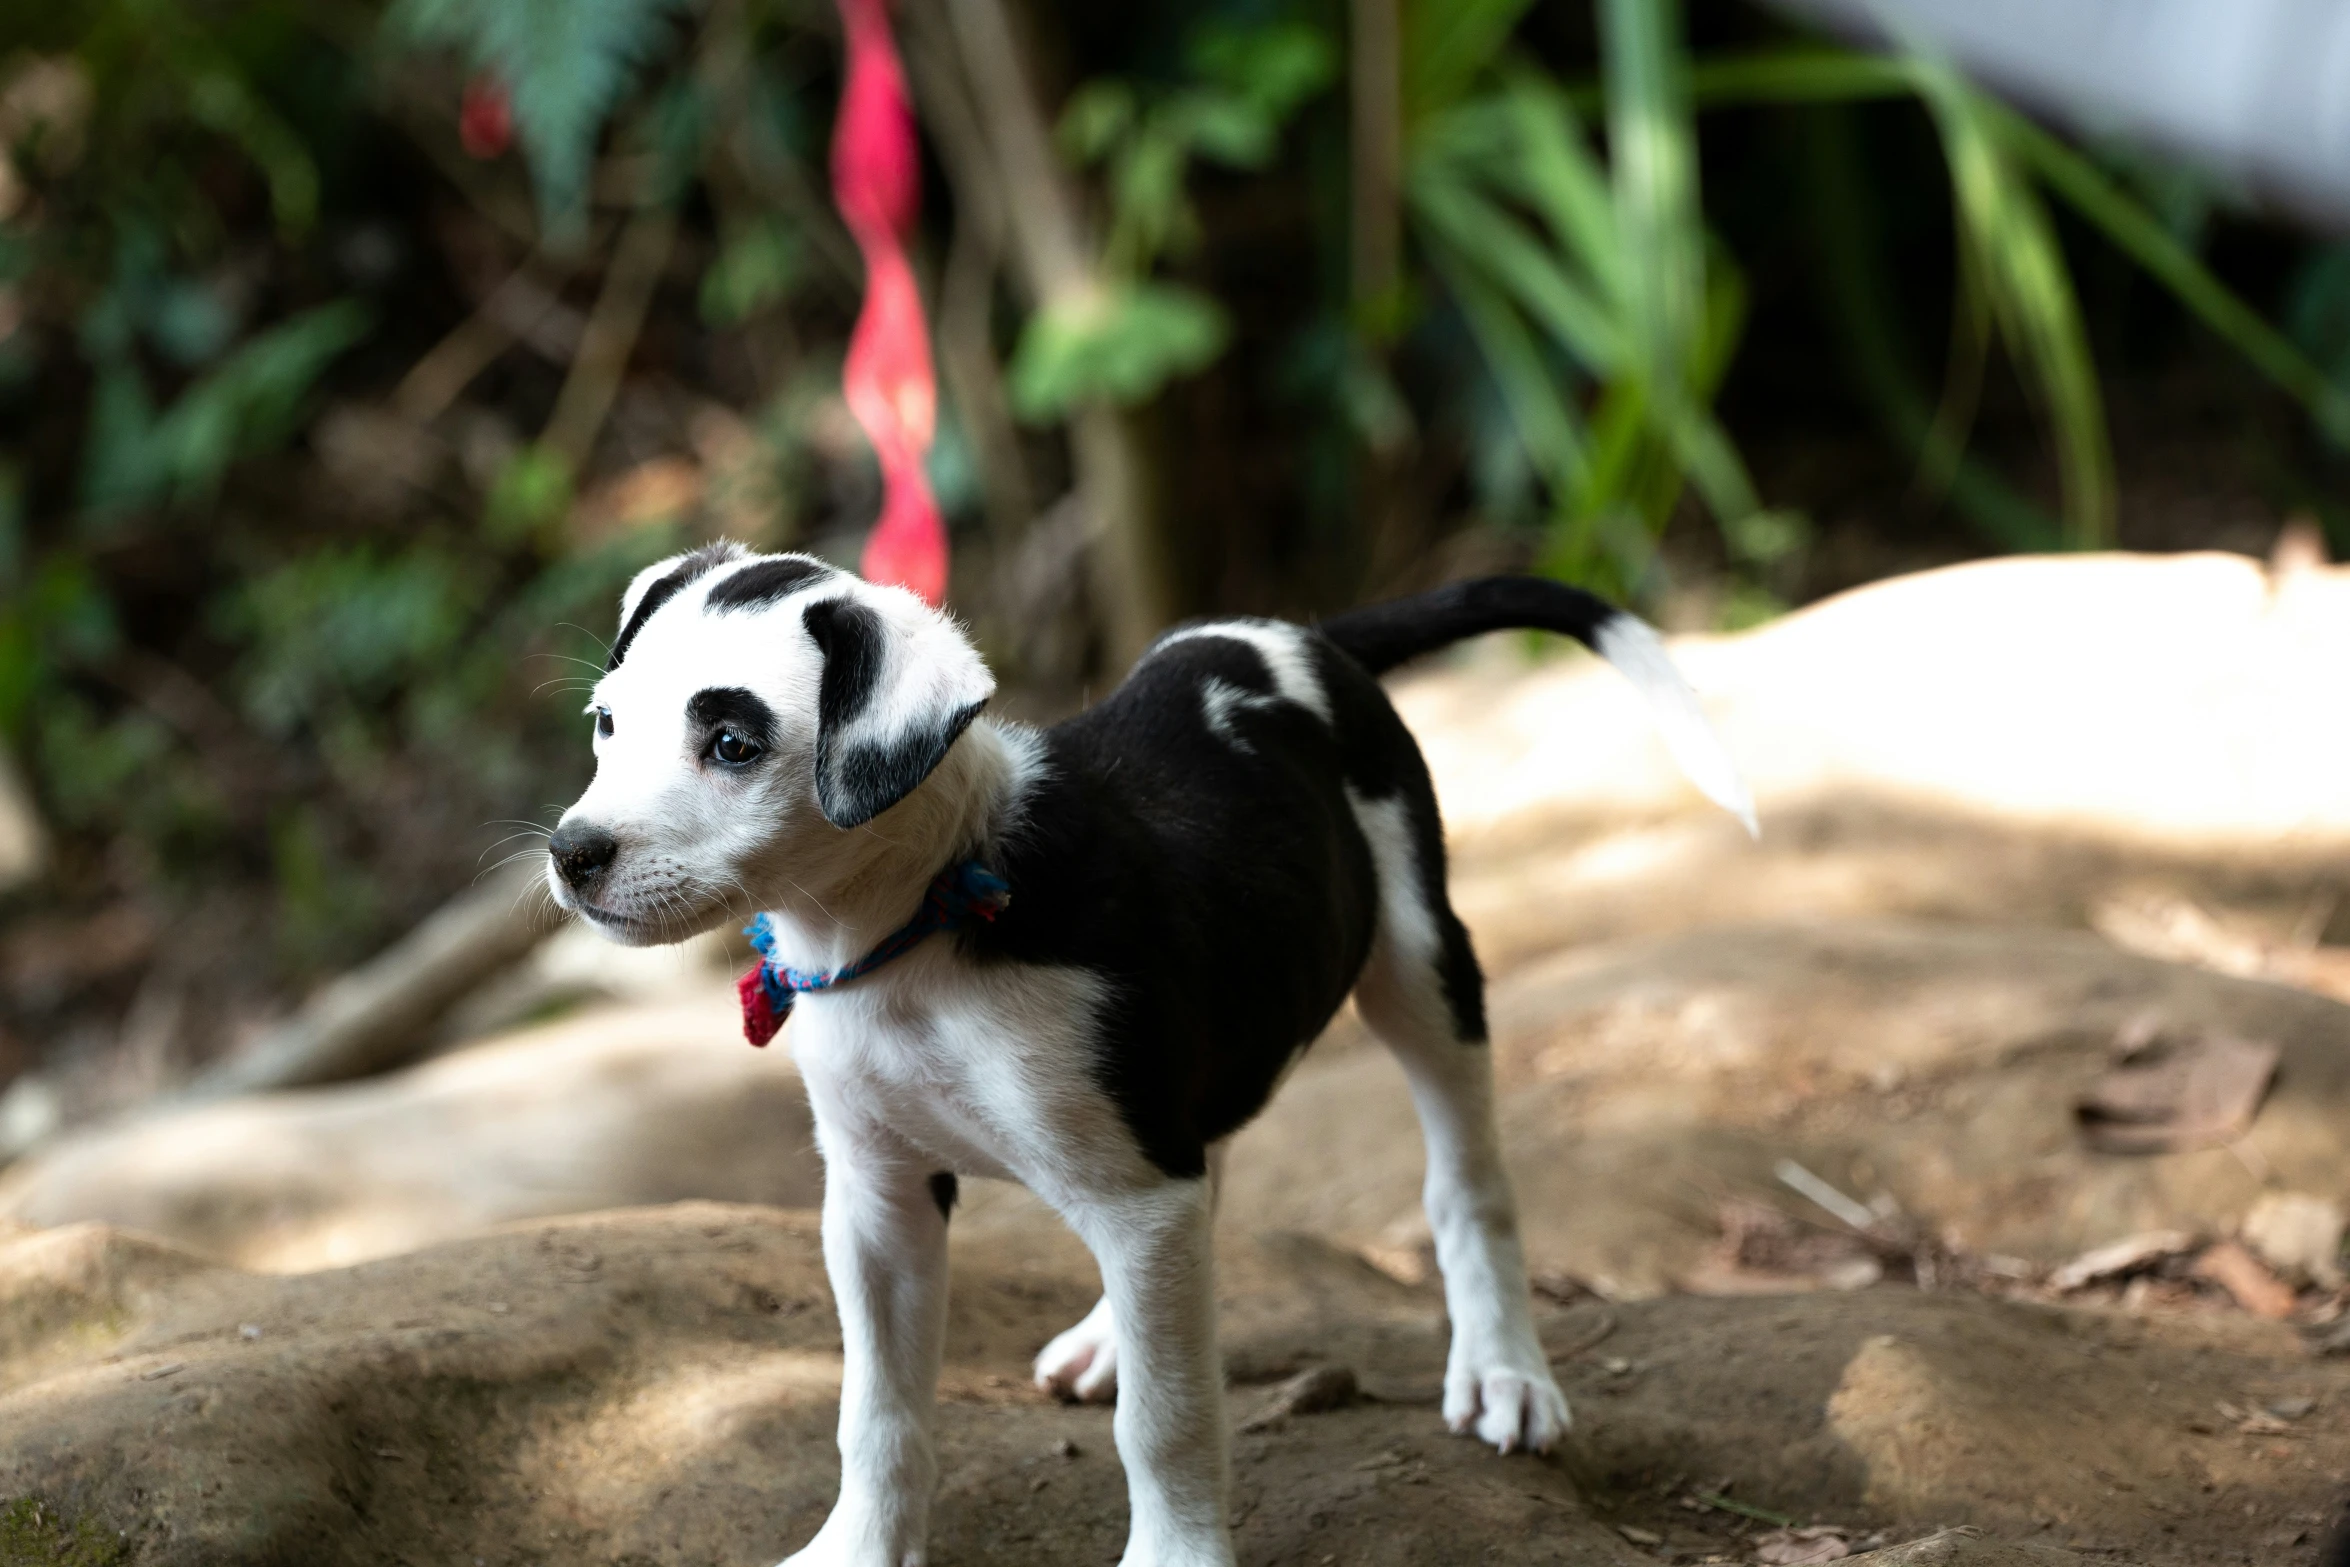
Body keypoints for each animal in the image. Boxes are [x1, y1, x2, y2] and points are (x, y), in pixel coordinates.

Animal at [545, 542, 1748, 1567]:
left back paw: (1503, 1368)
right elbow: (875, 1409)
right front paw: (860, 1549)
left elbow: (1164, 1419)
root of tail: (1292, 634)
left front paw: (1176, 1553)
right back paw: (1111, 1334)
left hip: (1420, 962)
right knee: (1208, 1172)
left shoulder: (1132, 1192)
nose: (571, 853)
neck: (919, 928)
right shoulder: (878, 1198)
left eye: (733, 744)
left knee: (1466, 1183)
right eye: (604, 724)